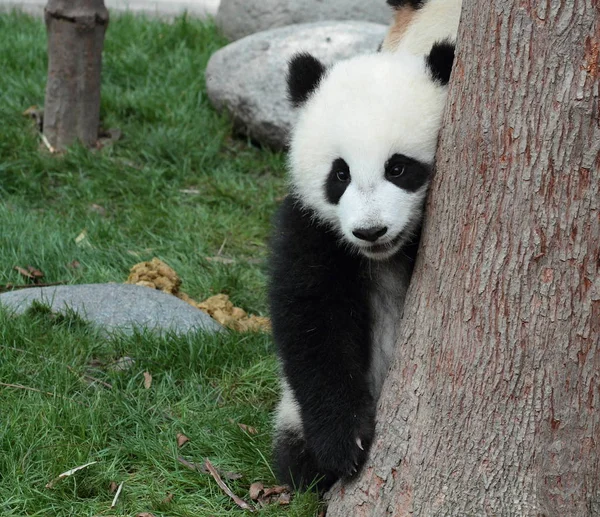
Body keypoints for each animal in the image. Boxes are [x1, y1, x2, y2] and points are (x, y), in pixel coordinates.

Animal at [270, 0, 462, 492]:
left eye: (398, 167)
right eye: (340, 174)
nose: (370, 231)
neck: (385, 257)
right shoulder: (313, 228)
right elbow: (312, 322)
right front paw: (343, 446)